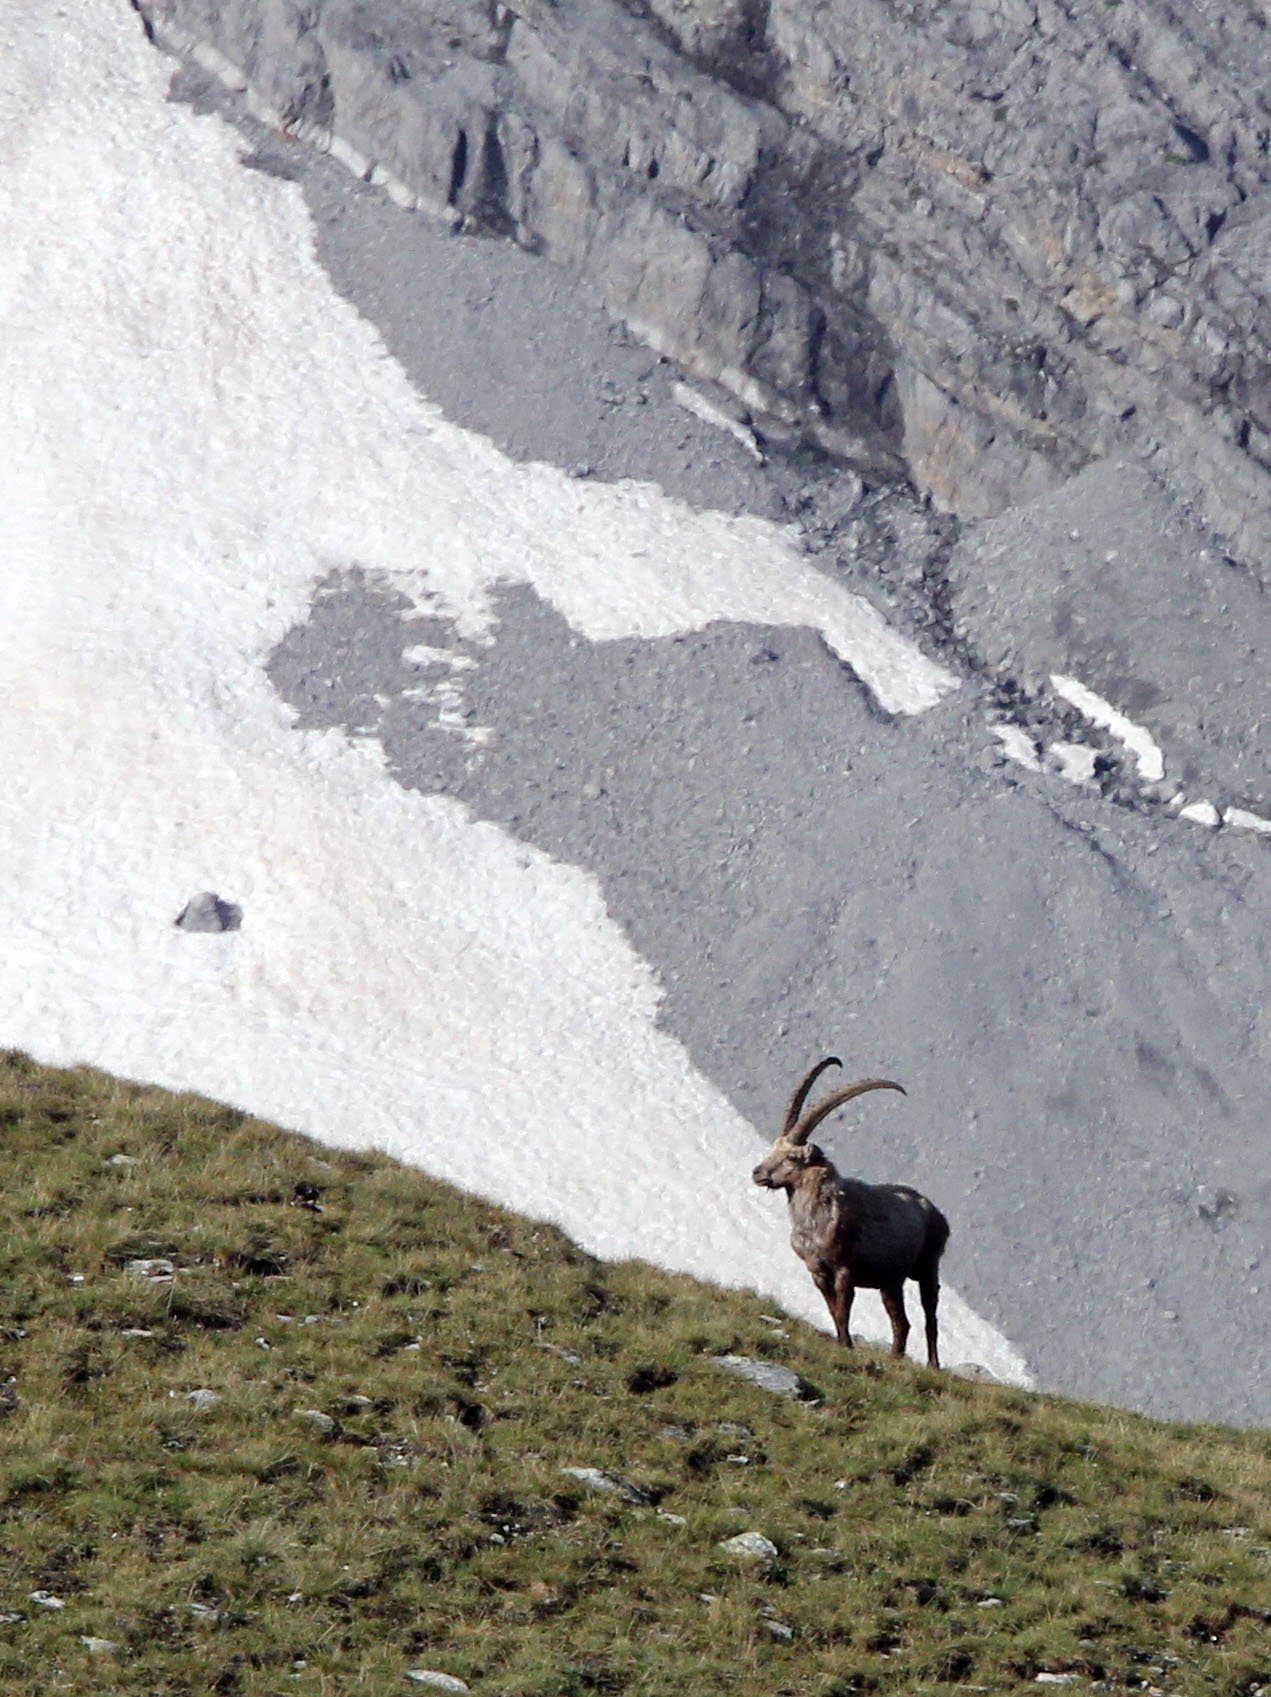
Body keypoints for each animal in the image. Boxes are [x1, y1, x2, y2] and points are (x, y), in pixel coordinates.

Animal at [752, 1057, 949, 1367]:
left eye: (792, 1157)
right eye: (774, 1148)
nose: (757, 1172)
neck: (814, 1221)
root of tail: (935, 1212)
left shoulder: (844, 1269)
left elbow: (844, 1309)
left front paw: (846, 1346)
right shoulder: (817, 1271)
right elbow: (834, 1310)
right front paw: (843, 1343)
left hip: (927, 1267)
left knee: (930, 1316)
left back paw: (932, 1365)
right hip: (890, 1282)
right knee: (902, 1323)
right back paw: (895, 1357)